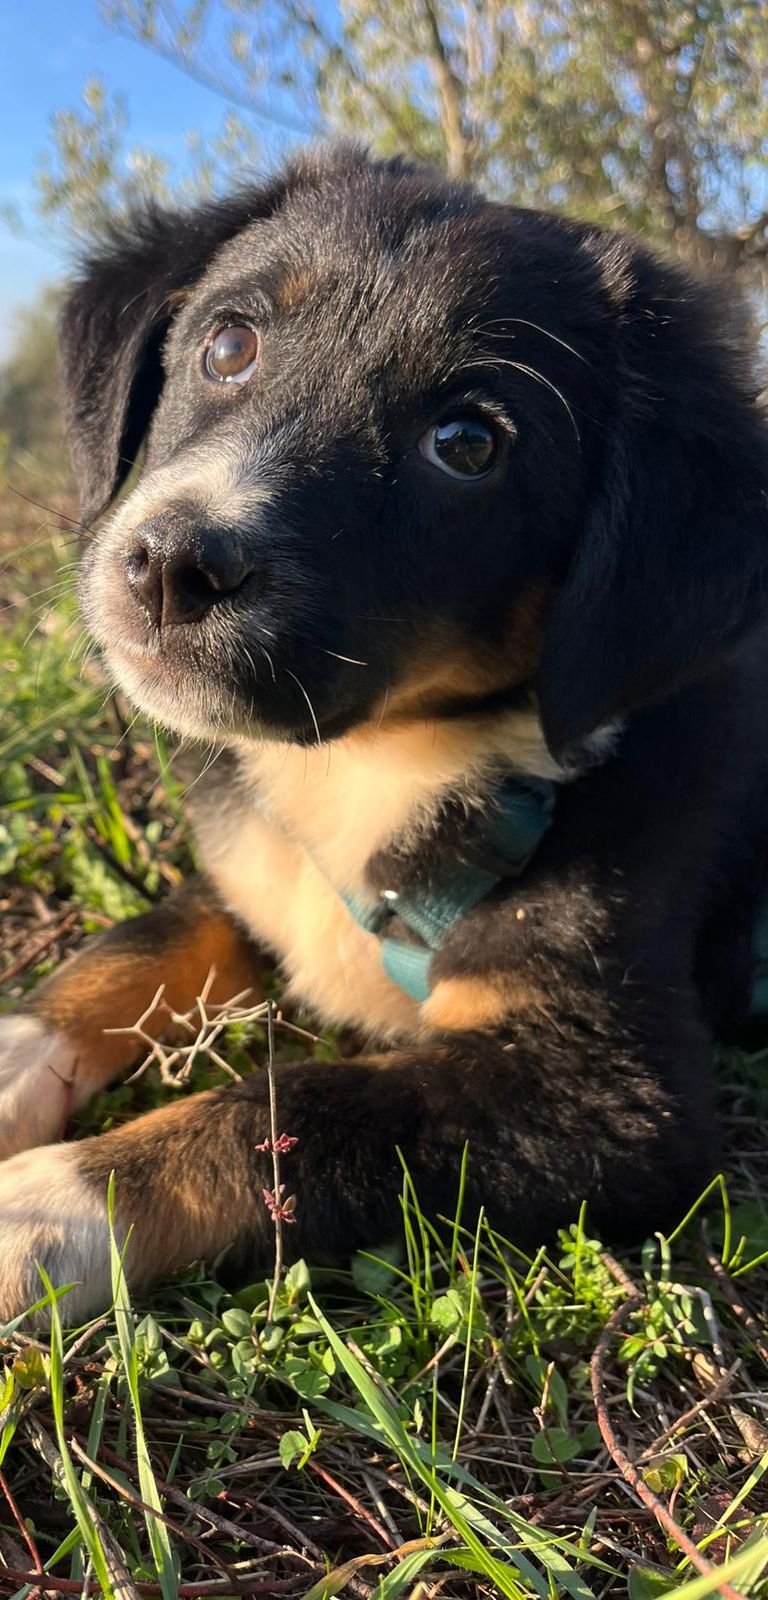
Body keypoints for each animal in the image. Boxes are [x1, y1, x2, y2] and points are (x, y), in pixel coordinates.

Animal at [1, 146, 768, 1323]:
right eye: (228, 344)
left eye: (467, 444)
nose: (171, 567)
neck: (373, 764)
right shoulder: (250, 880)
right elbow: (127, 950)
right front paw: (8, 1062)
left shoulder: (615, 1096)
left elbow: (289, 1113)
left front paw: (49, 1202)